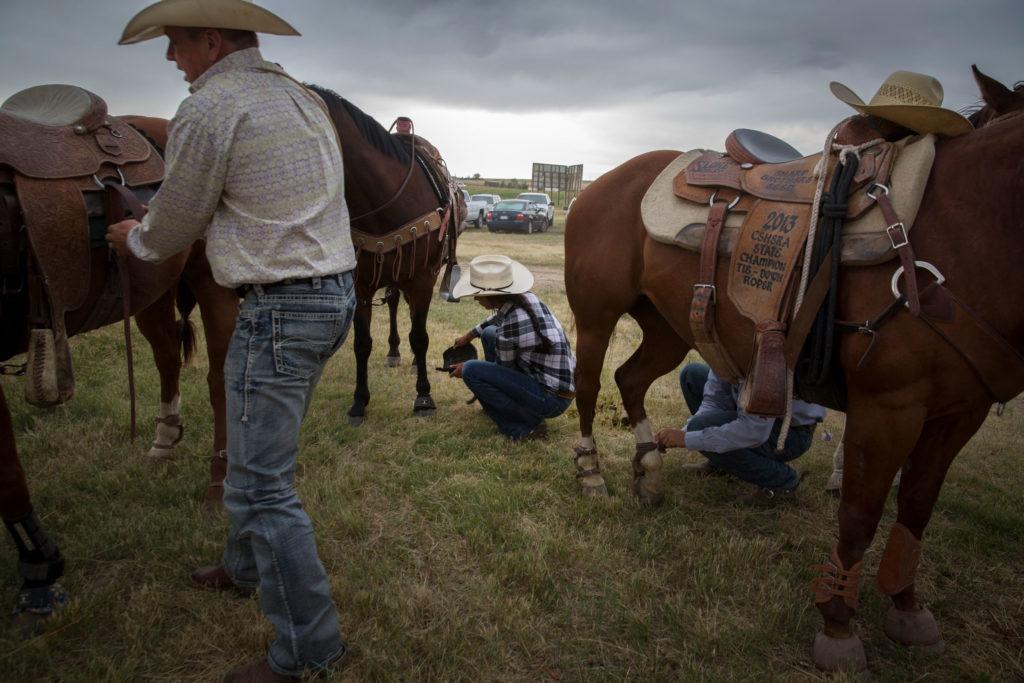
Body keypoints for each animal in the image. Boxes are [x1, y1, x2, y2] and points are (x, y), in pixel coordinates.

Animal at [303, 86, 464, 428]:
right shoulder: (362, 283)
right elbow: (362, 343)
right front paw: (359, 402)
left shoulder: (423, 278)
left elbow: (420, 336)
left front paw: (424, 397)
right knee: (392, 303)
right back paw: (394, 352)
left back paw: (414, 362)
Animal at [565, 69, 1024, 671]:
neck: (961, 226)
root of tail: (600, 184)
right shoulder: (888, 406)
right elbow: (859, 515)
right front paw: (839, 626)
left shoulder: (958, 412)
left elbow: (916, 507)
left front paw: (906, 606)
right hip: (596, 317)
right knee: (588, 385)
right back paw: (592, 472)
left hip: (668, 328)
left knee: (631, 380)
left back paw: (650, 468)